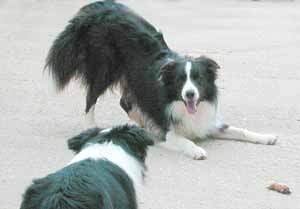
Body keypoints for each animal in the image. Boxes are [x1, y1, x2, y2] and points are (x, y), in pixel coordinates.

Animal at [45, 0, 278, 160]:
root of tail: (95, 9)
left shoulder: (207, 122)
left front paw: (266, 137)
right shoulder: (170, 130)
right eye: (181, 80)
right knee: (90, 99)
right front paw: (197, 150)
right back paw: (92, 126)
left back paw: (142, 124)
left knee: (125, 102)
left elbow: (240, 130)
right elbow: (181, 138)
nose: (190, 94)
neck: (183, 105)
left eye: (198, 78)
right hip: (104, 67)